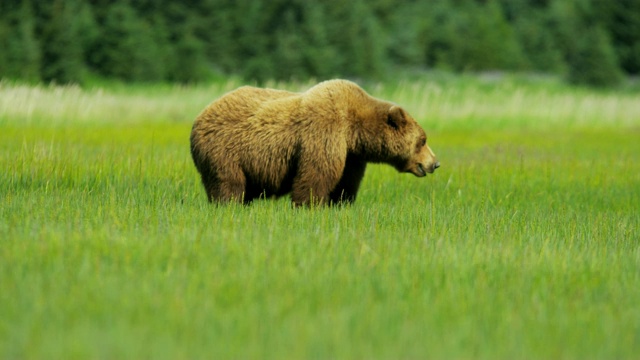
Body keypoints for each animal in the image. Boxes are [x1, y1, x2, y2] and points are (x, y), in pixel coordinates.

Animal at [190, 80, 438, 207]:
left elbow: (346, 182)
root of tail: (200, 115)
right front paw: (309, 206)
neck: (354, 130)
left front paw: (341, 203)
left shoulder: (352, 156)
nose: (435, 163)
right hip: (224, 151)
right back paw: (227, 205)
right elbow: (316, 175)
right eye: (423, 140)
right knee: (228, 184)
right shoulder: (324, 133)